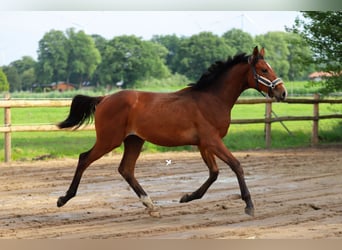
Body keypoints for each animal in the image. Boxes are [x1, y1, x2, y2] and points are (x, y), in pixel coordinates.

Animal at [55, 46, 286, 217]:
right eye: (264, 70)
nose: (282, 92)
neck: (211, 99)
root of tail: (104, 98)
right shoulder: (212, 141)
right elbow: (236, 166)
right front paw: (249, 205)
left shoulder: (204, 144)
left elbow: (214, 173)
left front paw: (187, 197)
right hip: (109, 140)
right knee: (84, 159)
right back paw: (63, 198)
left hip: (134, 140)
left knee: (126, 169)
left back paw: (151, 206)